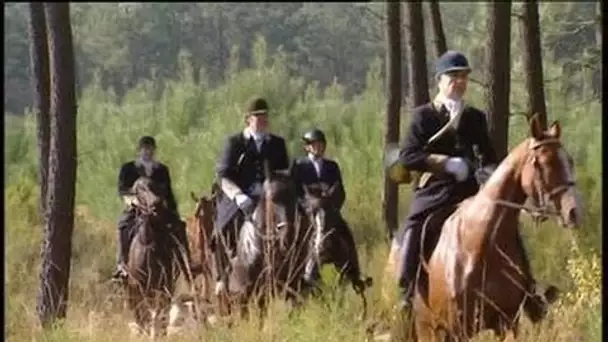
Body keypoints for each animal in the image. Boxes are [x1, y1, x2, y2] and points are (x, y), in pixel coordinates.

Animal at [388, 115, 580, 342]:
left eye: (569, 161)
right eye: (545, 162)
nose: (573, 212)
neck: (482, 242)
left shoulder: (506, 323)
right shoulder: (459, 328)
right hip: (427, 329)